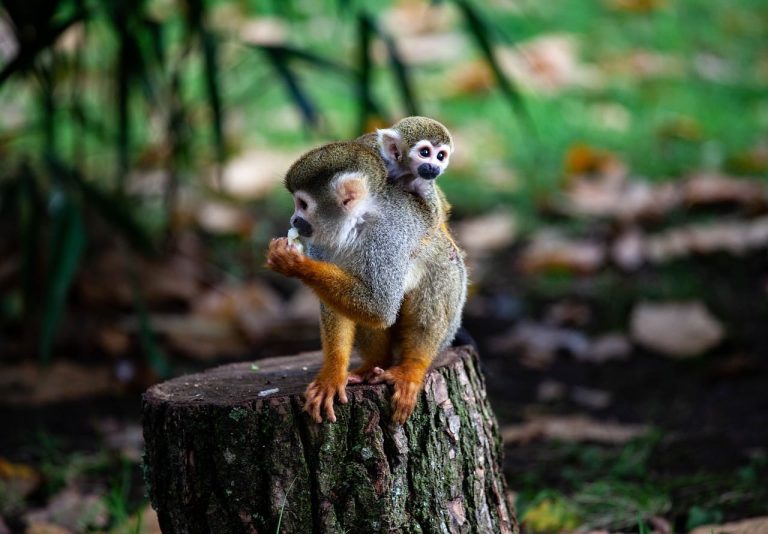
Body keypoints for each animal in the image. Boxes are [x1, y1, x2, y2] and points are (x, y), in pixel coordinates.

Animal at [266, 141, 467, 424]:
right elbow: (341, 310)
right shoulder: (321, 242)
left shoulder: (387, 238)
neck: (356, 225)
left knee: (432, 295)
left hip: (452, 293)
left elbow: (380, 307)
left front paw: (294, 263)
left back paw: (412, 367)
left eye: (302, 204)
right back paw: (373, 363)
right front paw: (332, 375)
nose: (294, 220)